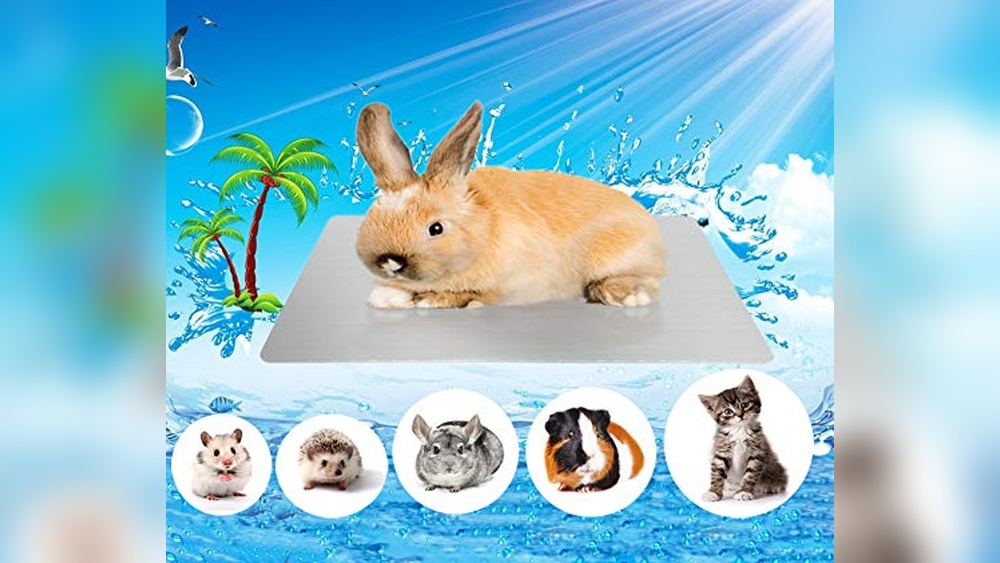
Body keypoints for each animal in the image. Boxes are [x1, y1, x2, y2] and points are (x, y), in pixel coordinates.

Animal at [355, 101, 667, 309]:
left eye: (436, 228)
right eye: (374, 217)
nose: (391, 261)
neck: (481, 231)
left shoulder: (514, 286)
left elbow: (475, 295)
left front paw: (434, 300)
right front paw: (387, 297)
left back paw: (624, 295)